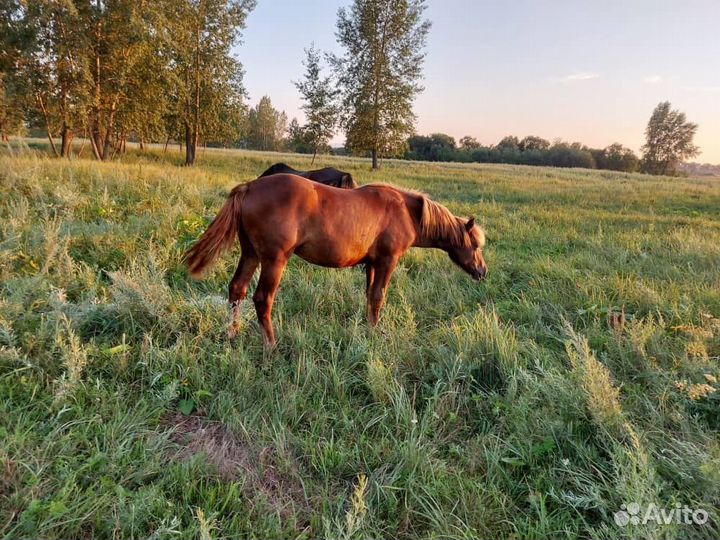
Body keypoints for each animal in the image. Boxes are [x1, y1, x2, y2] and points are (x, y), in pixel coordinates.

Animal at [185, 174, 487, 349]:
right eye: (475, 245)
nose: (483, 271)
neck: (406, 211)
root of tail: (249, 187)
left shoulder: (371, 263)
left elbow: (369, 296)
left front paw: (369, 328)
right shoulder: (387, 261)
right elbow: (379, 296)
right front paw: (377, 334)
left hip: (250, 254)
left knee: (237, 289)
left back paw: (232, 335)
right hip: (273, 260)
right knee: (262, 299)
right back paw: (271, 346)